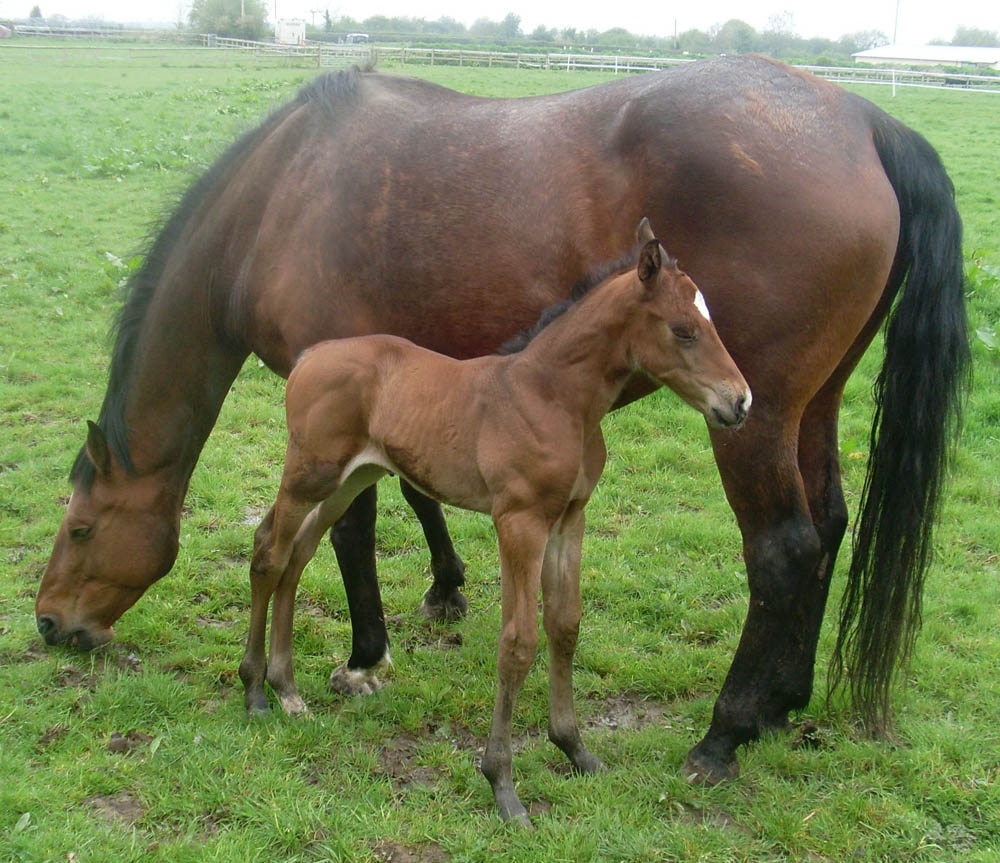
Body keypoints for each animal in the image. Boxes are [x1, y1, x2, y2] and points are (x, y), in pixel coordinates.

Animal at [238, 226, 748, 828]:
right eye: (684, 329)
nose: (740, 401)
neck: (552, 397)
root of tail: (310, 356)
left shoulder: (569, 519)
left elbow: (565, 626)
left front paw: (575, 750)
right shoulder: (519, 521)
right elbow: (518, 642)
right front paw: (503, 785)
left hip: (350, 477)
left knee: (297, 554)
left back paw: (288, 689)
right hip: (308, 474)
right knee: (269, 552)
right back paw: (256, 692)